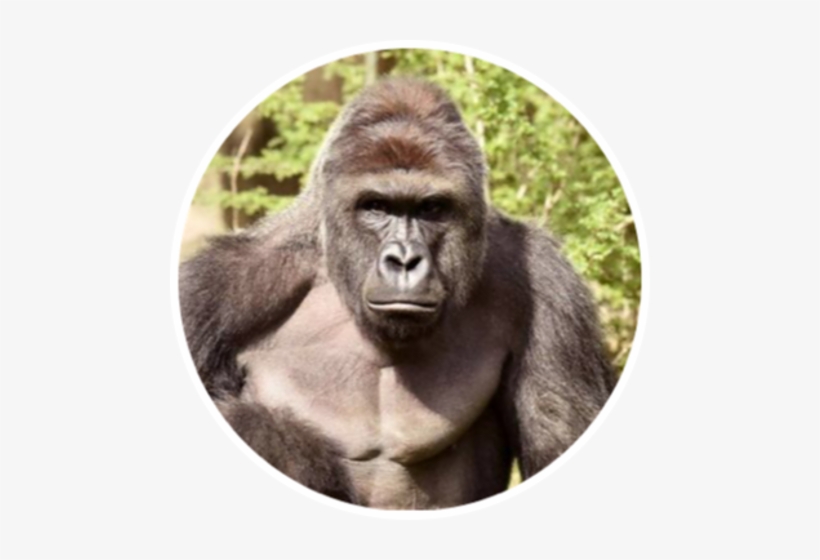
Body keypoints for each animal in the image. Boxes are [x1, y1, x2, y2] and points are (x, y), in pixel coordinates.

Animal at [180, 78, 615, 509]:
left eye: (431, 208)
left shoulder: (549, 288)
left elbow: (557, 440)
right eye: (376, 206)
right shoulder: (213, 291)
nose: (404, 261)